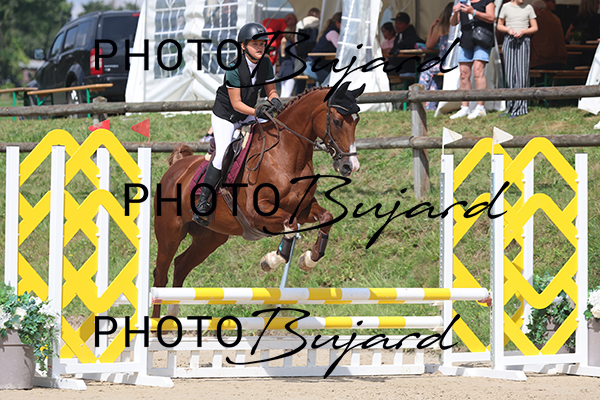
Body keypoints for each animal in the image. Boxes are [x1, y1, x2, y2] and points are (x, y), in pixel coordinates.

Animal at [152, 82, 365, 318]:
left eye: (356, 120)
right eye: (336, 121)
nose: (350, 166)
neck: (286, 154)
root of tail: (177, 167)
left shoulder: (303, 209)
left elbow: (325, 217)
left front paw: (308, 259)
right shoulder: (257, 213)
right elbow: (290, 225)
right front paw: (270, 260)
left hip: (210, 238)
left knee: (181, 265)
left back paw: (171, 316)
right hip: (170, 233)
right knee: (161, 273)